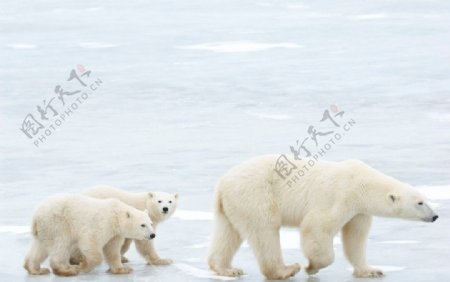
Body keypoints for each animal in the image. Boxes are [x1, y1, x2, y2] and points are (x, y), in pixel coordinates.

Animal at [24, 194, 155, 276]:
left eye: (151, 223)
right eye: (142, 225)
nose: (152, 235)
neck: (116, 215)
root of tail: (35, 216)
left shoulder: (115, 234)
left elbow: (112, 250)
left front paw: (122, 269)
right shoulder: (102, 223)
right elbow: (90, 242)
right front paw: (83, 265)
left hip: (45, 228)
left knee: (39, 248)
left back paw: (36, 269)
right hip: (57, 223)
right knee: (60, 245)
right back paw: (67, 270)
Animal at [208, 154, 440, 280]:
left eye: (425, 199)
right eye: (420, 203)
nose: (436, 216)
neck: (362, 184)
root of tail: (222, 183)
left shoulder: (359, 211)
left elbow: (355, 239)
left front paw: (371, 271)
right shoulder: (340, 195)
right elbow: (317, 226)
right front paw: (312, 267)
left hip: (232, 205)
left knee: (228, 233)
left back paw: (226, 269)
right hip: (256, 194)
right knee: (265, 230)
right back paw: (285, 270)